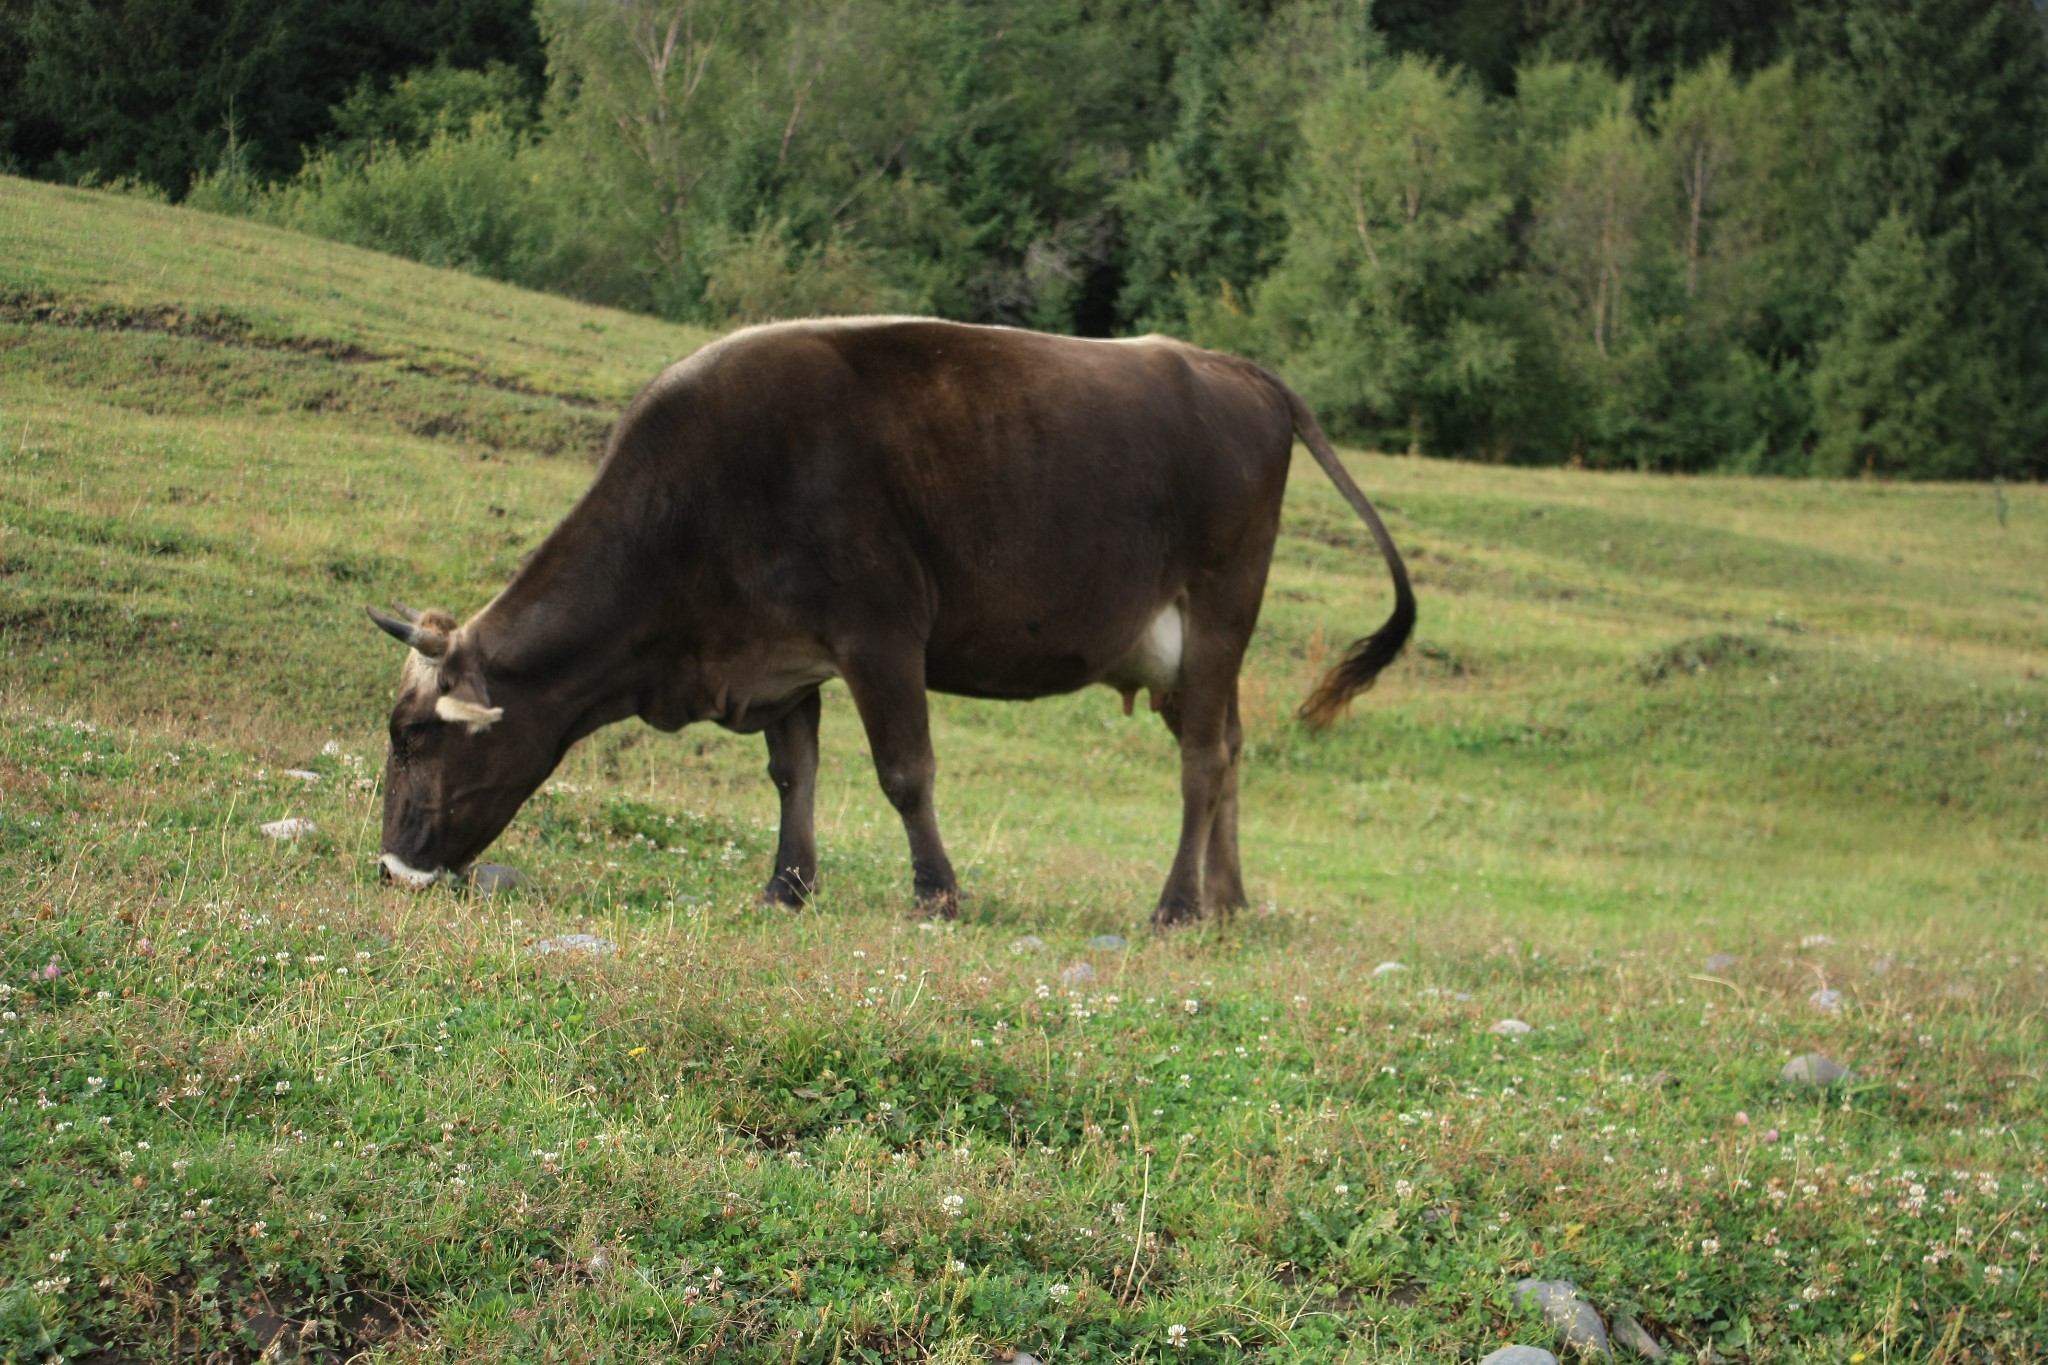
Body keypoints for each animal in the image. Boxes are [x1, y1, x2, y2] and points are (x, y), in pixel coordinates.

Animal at [368, 315, 1409, 925]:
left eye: (416, 738)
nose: (390, 866)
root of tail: (1229, 367)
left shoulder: (881, 631)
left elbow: (905, 771)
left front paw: (937, 890)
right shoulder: (780, 654)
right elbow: (794, 773)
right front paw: (786, 885)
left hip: (1221, 605)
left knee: (1199, 762)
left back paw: (1179, 905)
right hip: (1189, 653)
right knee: (1228, 747)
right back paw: (1230, 900)